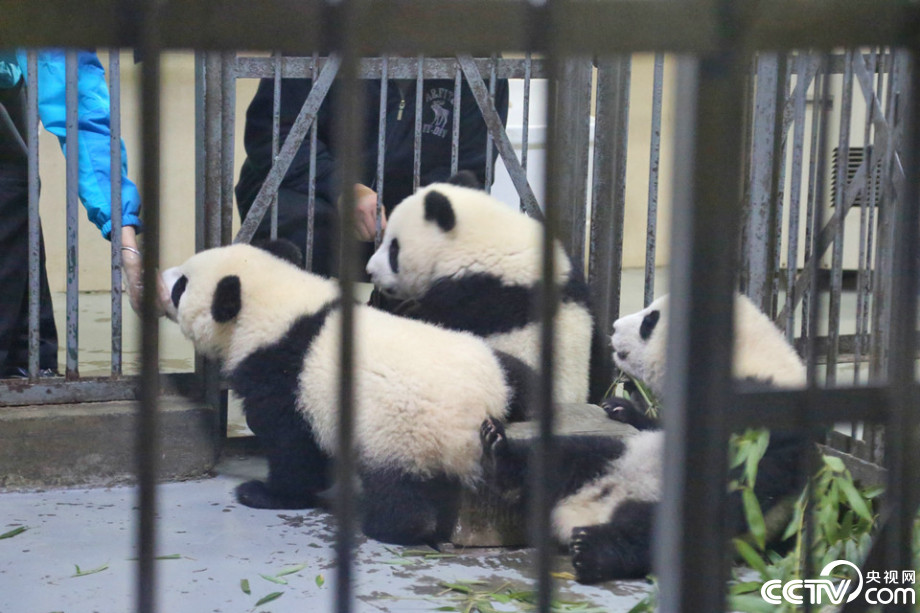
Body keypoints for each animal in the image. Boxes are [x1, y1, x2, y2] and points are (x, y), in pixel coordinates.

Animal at [161, 241, 534, 545]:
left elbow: (293, 448)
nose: (161, 277)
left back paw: (392, 527)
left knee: (397, 489)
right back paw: (505, 461)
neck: (284, 312)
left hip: (401, 435)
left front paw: (265, 493)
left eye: (182, 286)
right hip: (496, 367)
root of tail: (481, 407)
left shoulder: (288, 377)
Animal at [479, 292, 813, 583]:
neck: (752, 357)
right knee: (564, 457)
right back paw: (498, 451)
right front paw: (620, 408)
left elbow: (745, 480)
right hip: (616, 454)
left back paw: (592, 550)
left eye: (649, 322)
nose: (613, 327)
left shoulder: (765, 419)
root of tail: (594, 505)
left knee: (651, 535)